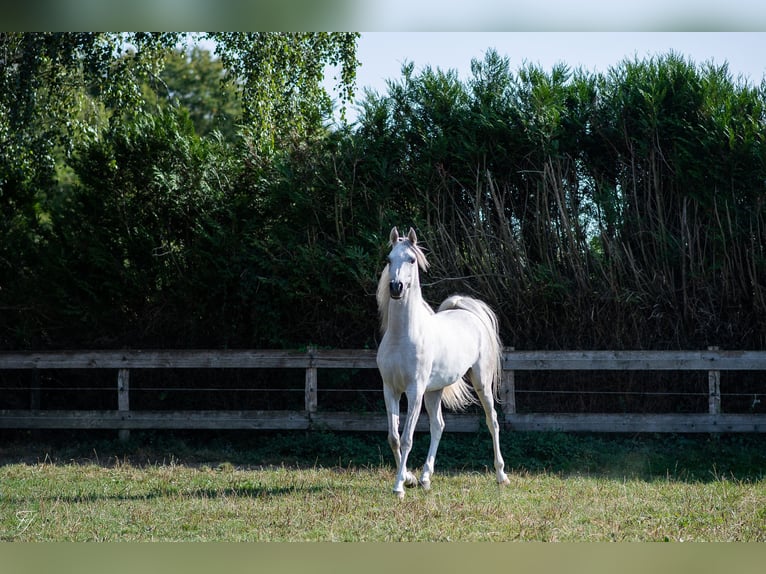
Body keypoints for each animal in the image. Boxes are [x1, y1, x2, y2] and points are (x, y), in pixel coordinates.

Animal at [376, 227, 510, 498]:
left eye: (412, 260)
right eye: (388, 259)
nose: (396, 287)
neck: (402, 336)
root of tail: (469, 312)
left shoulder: (414, 391)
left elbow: (406, 438)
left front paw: (399, 487)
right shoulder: (390, 390)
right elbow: (394, 437)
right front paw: (409, 478)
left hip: (480, 382)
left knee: (492, 421)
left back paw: (501, 475)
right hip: (433, 392)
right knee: (438, 426)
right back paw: (425, 477)